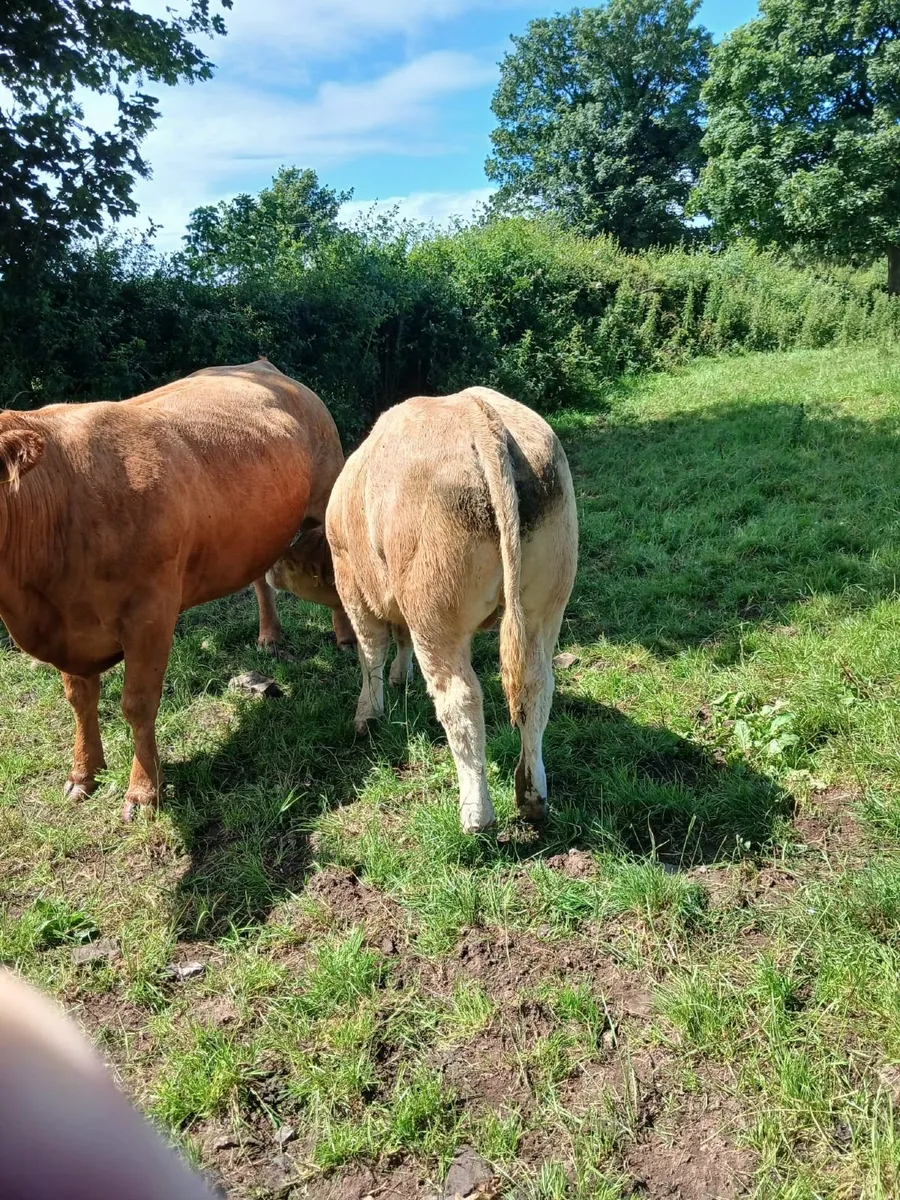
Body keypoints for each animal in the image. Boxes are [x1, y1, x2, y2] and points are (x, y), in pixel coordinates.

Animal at [0, 359, 353, 821]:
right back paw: (269, 635)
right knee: (261, 580)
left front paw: (143, 792)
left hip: (326, 495)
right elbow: (79, 697)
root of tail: (263, 366)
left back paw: (344, 638)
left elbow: (137, 703)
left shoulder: (151, 616)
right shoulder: (69, 629)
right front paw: (83, 773)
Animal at [268, 386, 578, 833]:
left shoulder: (355, 591)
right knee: (537, 687)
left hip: (437, 616)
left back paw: (476, 814)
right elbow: (399, 641)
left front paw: (368, 714)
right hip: (544, 607)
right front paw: (402, 677)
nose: (269, 570)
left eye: (290, 561)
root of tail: (477, 412)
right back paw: (533, 797)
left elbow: (370, 654)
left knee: (460, 699)